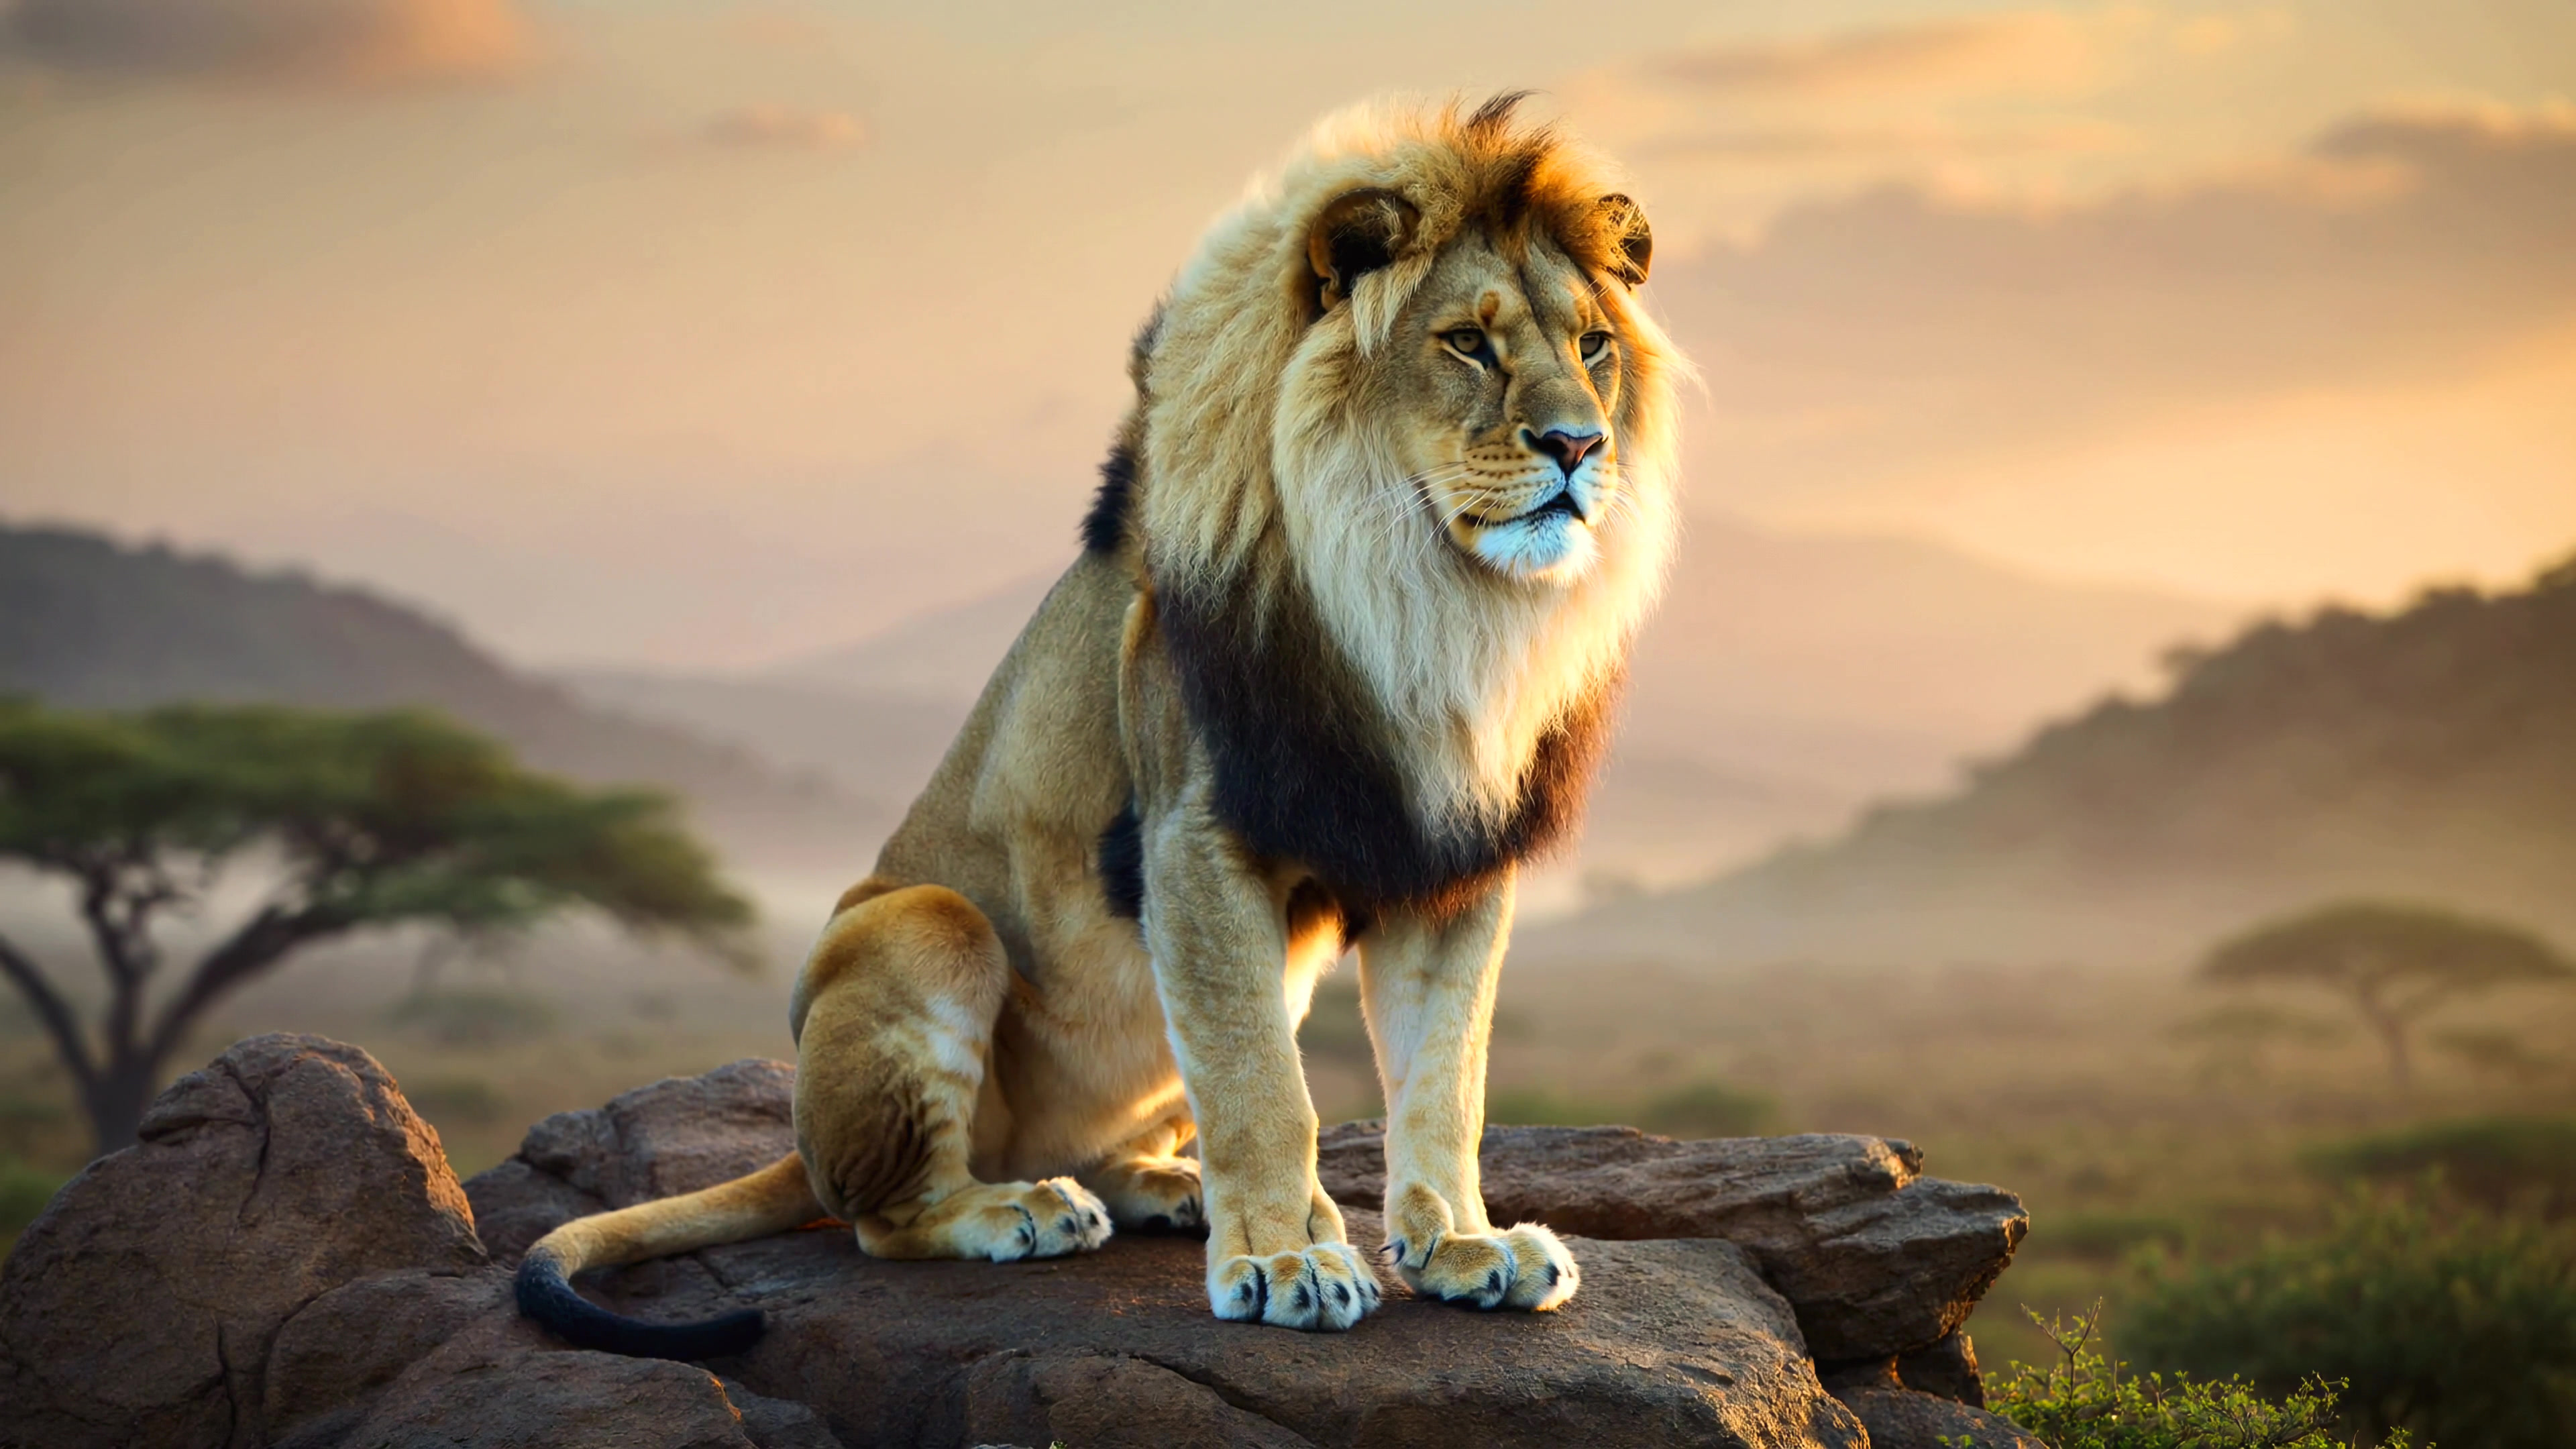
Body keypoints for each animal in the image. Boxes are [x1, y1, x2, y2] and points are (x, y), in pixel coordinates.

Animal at [514, 92, 1682, 1353]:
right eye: (1468, 342)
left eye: (1593, 347)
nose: (1579, 447)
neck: (1426, 600)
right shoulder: (1194, 838)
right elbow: (1263, 1088)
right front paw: (1283, 1263)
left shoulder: (1449, 853)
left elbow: (1445, 1078)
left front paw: (1463, 1245)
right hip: (923, 928)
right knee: (880, 1214)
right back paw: (1022, 1209)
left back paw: (1167, 1187)